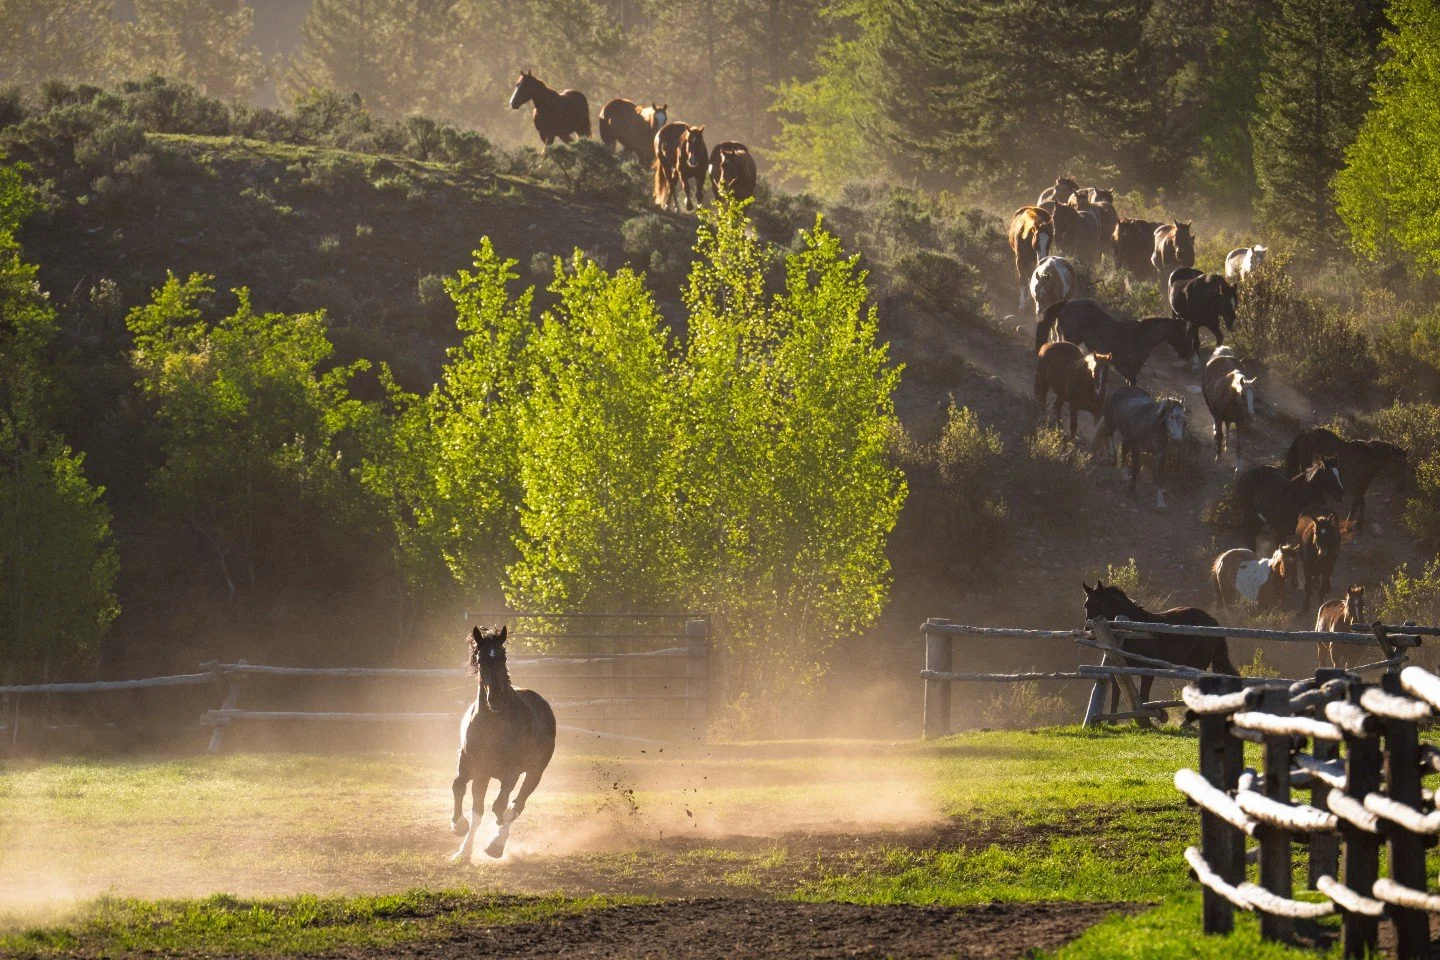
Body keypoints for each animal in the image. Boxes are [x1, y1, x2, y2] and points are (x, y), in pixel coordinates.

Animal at [451, 625, 556, 863]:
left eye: (503, 656)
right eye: (480, 659)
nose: (495, 700)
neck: (494, 726)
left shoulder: (511, 773)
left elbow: (500, 806)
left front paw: (494, 841)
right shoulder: (473, 767)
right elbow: (463, 793)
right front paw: (461, 840)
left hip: (535, 773)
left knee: (518, 803)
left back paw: (497, 844)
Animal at [1037, 299, 1192, 382]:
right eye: (1182, 333)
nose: (1186, 354)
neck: (1140, 338)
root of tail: (1066, 303)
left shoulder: (1133, 370)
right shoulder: (1122, 367)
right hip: (1071, 338)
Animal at [1082, 581, 1236, 717]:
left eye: (1099, 602)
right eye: (1086, 605)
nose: (1088, 632)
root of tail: (1211, 620)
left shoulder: (1147, 672)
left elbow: (1144, 698)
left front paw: (1155, 717)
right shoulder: (1119, 670)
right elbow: (1116, 696)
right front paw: (1111, 722)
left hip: (1199, 665)